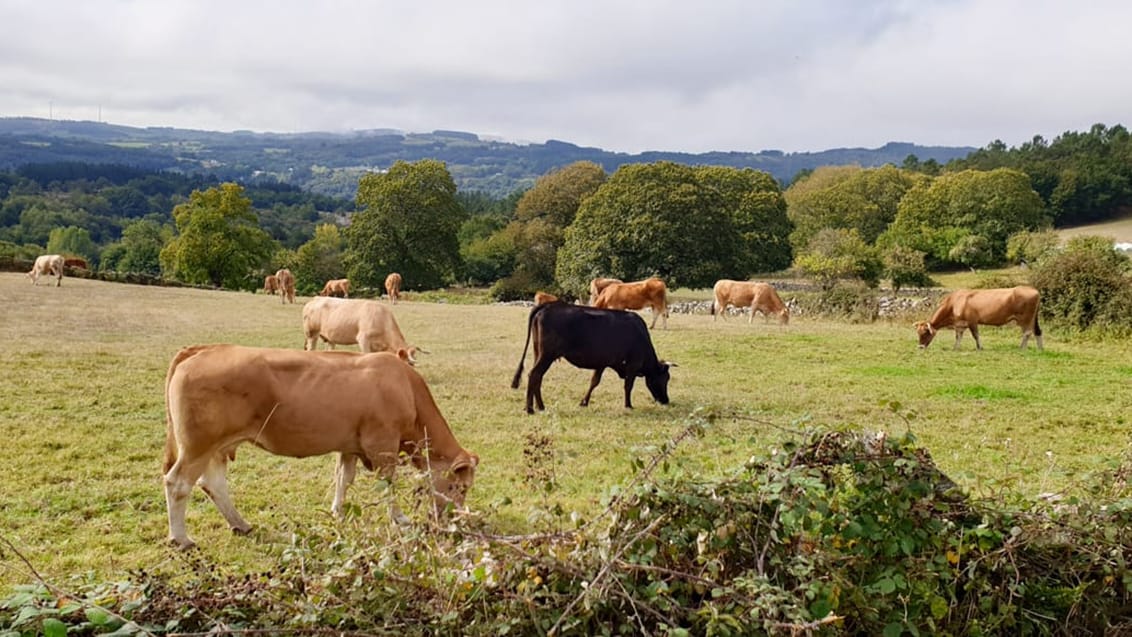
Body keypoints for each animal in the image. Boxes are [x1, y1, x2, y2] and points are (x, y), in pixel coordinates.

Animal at [161, 343, 475, 547]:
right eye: (459, 487)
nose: (455, 518)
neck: (406, 389)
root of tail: (202, 349)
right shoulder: (382, 445)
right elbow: (387, 486)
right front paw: (400, 519)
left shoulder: (350, 446)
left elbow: (343, 479)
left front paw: (337, 511)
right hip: (198, 446)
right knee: (178, 483)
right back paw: (182, 538)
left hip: (216, 447)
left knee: (213, 484)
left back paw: (241, 524)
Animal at [511, 303, 670, 416]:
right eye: (665, 379)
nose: (666, 401)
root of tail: (548, 305)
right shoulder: (633, 364)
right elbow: (628, 386)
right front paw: (628, 405)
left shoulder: (602, 363)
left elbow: (594, 382)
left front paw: (584, 402)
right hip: (547, 355)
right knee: (534, 375)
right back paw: (530, 409)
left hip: (538, 353)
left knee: (538, 377)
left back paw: (540, 406)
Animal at [910, 286, 1041, 350]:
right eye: (918, 333)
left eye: (926, 333)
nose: (920, 347)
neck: (954, 303)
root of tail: (1033, 289)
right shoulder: (959, 324)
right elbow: (958, 337)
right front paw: (955, 348)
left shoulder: (972, 321)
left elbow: (976, 335)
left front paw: (979, 347)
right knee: (1037, 332)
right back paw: (1040, 349)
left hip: (1025, 318)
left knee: (1027, 333)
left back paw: (1022, 348)